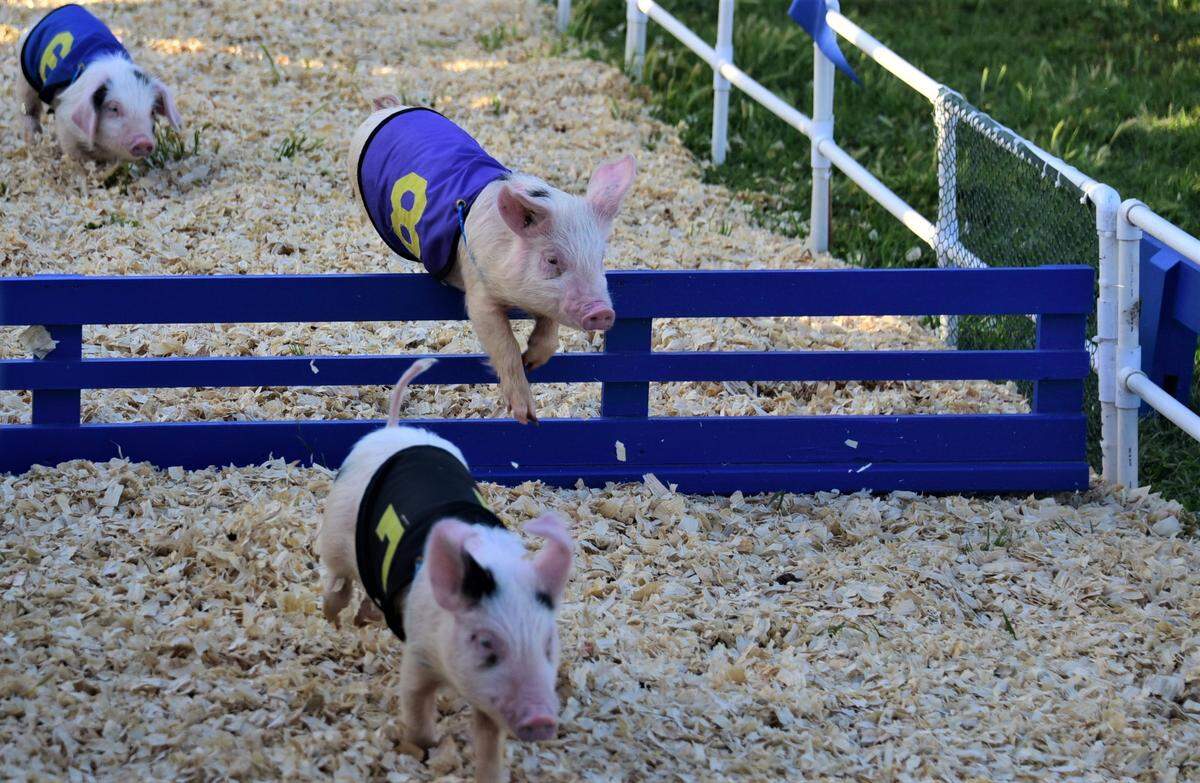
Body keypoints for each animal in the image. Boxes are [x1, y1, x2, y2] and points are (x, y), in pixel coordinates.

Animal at [17, 4, 182, 162]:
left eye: (152, 112)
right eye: (114, 108)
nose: (143, 142)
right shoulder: (65, 117)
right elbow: (74, 152)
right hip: (25, 78)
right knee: (28, 109)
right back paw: (33, 140)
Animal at [317, 358, 574, 783]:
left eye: (548, 643)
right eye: (485, 642)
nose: (541, 720)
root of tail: (394, 429)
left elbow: (488, 741)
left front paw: (489, 773)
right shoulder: (419, 651)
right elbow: (415, 704)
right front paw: (423, 751)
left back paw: (362, 618)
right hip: (337, 530)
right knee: (338, 580)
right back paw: (335, 622)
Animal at [349, 95, 636, 424]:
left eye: (600, 258)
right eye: (552, 260)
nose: (602, 312)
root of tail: (390, 107)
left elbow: (549, 332)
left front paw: (532, 362)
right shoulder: (478, 289)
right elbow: (503, 343)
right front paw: (527, 417)